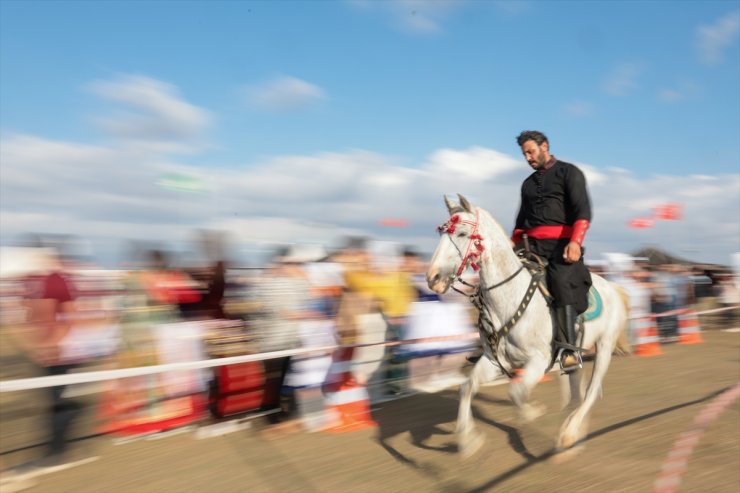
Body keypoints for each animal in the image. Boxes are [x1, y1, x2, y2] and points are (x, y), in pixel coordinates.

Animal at [424, 194, 628, 456]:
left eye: (462, 233)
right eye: (442, 232)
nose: (433, 279)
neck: (507, 301)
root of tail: (613, 287)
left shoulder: (539, 361)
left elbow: (516, 391)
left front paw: (532, 412)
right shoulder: (493, 360)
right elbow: (466, 388)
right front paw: (469, 441)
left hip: (604, 347)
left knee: (591, 392)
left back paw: (569, 433)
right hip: (574, 359)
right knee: (577, 393)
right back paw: (573, 433)